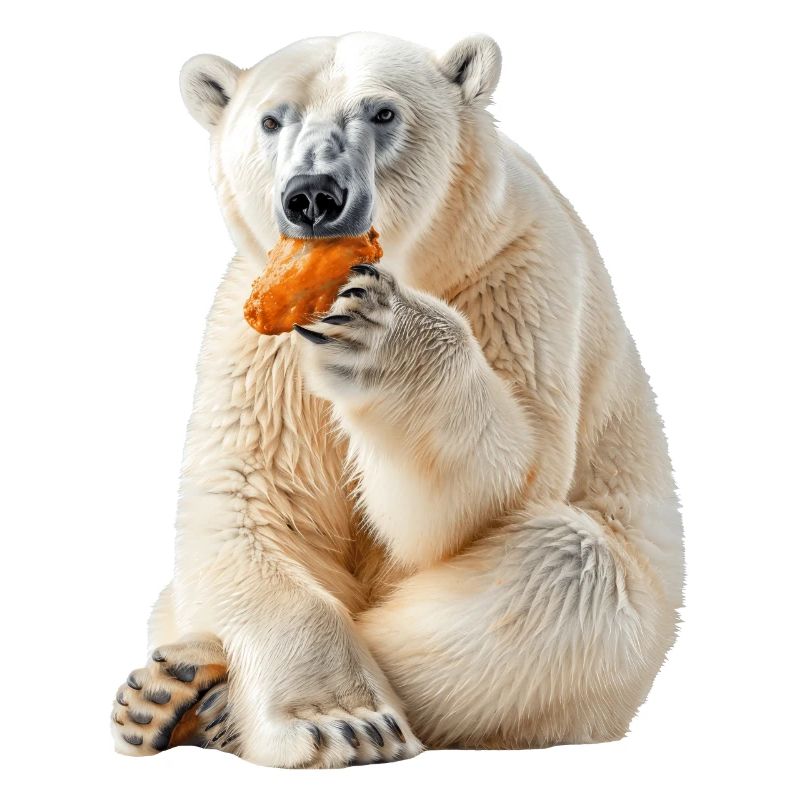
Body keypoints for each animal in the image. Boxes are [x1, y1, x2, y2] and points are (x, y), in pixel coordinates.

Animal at [111, 31, 684, 767]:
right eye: (271, 119)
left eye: (381, 113)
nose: (313, 196)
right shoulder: (258, 340)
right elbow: (252, 502)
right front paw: (341, 722)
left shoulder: (521, 273)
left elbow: (502, 487)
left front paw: (380, 331)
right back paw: (161, 694)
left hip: (638, 628)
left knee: (567, 572)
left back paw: (203, 700)